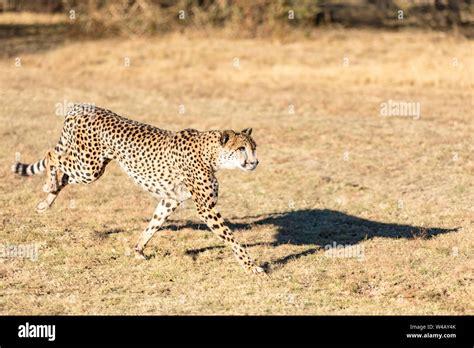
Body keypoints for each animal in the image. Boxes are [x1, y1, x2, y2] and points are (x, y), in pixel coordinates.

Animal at [11, 103, 264, 274]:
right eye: (242, 149)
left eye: (254, 148)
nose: (255, 162)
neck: (211, 154)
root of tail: (83, 106)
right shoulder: (206, 208)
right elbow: (231, 238)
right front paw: (251, 266)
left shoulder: (170, 199)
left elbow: (153, 224)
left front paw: (138, 250)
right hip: (88, 167)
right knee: (51, 155)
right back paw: (49, 184)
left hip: (91, 168)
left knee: (63, 174)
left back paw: (46, 201)